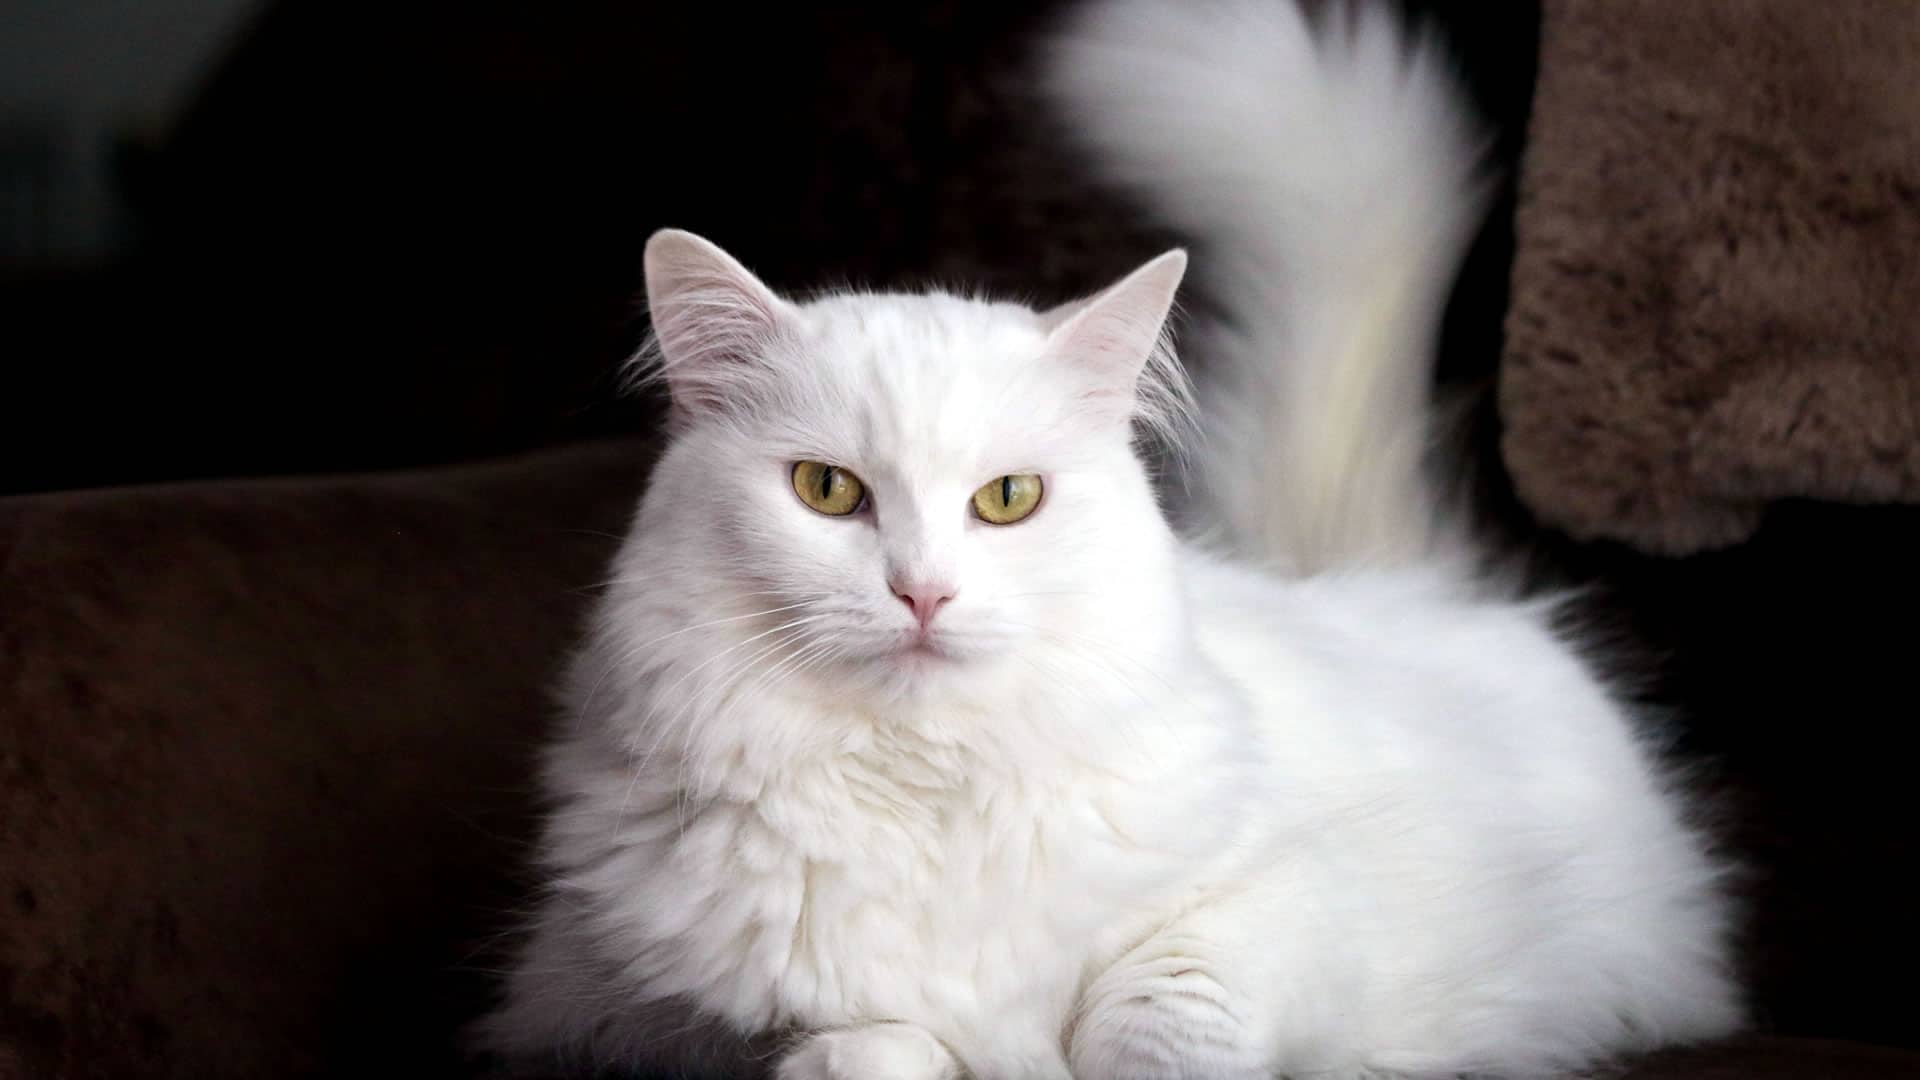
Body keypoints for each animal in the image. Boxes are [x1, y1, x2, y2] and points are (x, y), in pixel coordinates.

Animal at [480, 2, 1743, 1076]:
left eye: (1007, 500)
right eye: (829, 490)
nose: (922, 593)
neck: (927, 795)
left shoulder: (1292, 907)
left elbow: (1166, 1008)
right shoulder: (618, 1007)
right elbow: (865, 1045)